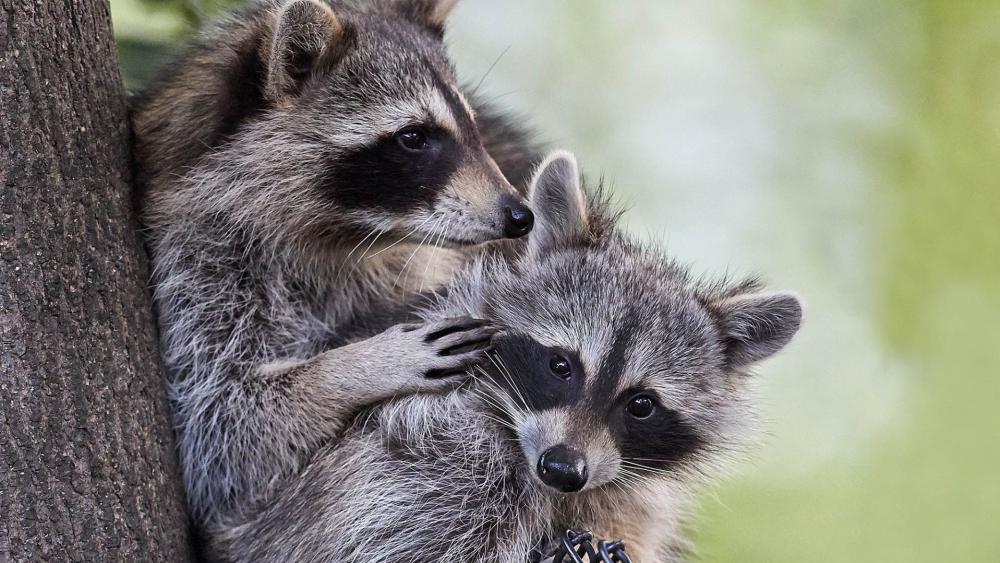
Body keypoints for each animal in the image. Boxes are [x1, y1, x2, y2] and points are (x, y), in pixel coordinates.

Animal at [131, 0, 541, 531]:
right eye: (414, 137)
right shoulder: (192, 261)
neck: (343, 234)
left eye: (471, 127)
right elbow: (219, 428)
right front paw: (358, 367)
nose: (520, 216)